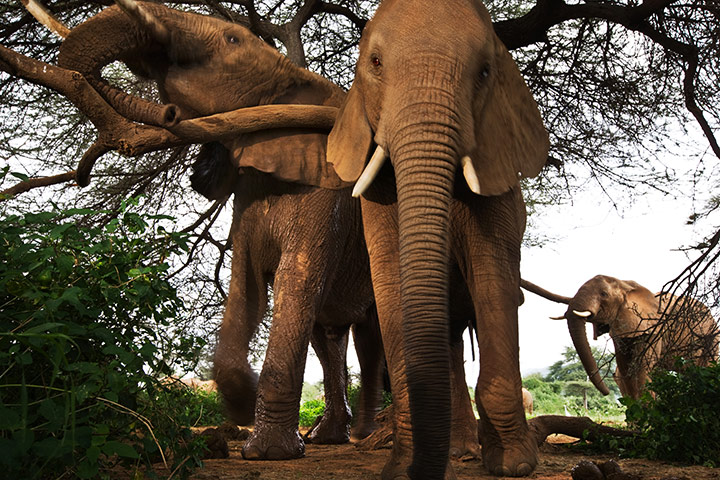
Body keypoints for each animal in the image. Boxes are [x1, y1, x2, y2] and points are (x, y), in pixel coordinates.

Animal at [56, 1, 386, 459]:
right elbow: (245, 287)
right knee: (327, 336)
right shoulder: (247, 197)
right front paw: (242, 405)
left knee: (373, 335)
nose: (170, 113)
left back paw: (368, 436)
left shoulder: (329, 191)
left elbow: (296, 281)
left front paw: (268, 451)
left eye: (232, 39)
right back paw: (329, 436)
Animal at [325, 0, 550, 477]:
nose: (416, 471)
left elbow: (492, 275)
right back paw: (458, 450)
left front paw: (515, 464)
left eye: (485, 71)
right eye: (374, 63)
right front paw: (401, 467)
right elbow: (391, 281)